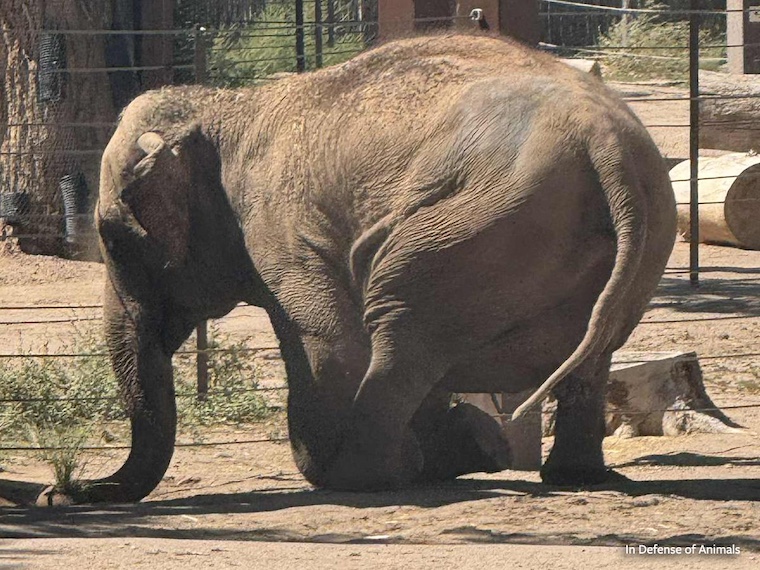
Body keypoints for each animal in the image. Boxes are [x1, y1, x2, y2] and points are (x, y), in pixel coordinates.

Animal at [39, 33, 676, 504]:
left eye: (114, 240)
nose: (65, 491)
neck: (226, 108)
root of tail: (605, 144)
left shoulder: (279, 226)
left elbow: (326, 342)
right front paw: (462, 447)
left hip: (474, 226)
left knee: (398, 324)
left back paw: (375, 475)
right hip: (634, 234)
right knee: (594, 351)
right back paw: (561, 473)